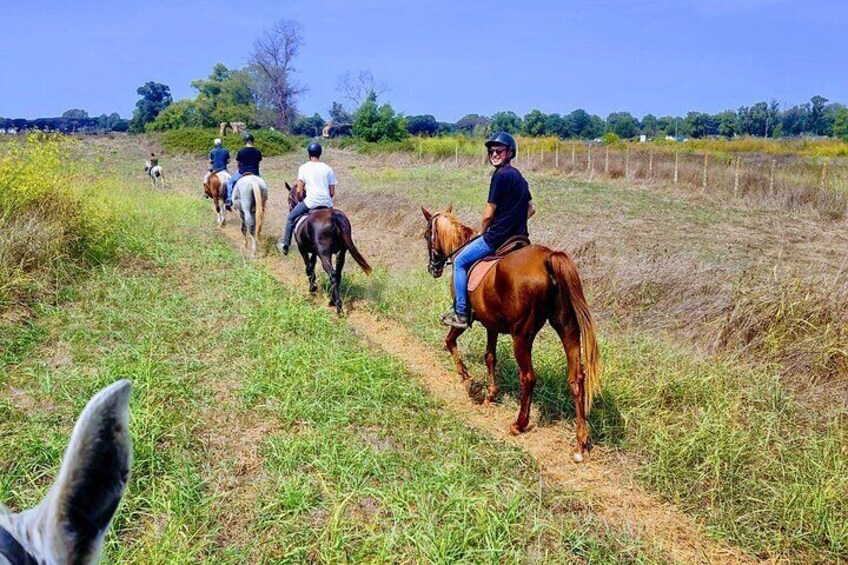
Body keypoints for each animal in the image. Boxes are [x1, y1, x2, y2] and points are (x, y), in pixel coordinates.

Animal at [284, 181, 372, 312]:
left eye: (289, 198)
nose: (290, 209)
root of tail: (334, 216)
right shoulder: (315, 252)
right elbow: (312, 265)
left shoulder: (302, 249)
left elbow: (308, 268)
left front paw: (312, 289)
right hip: (341, 252)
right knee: (338, 274)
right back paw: (333, 300)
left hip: (324, 253)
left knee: (332, 274)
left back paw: (338, 306)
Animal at [420, 208, 600, 462]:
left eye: (427, 235)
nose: (433, 268)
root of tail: (548, 259)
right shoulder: (492, 324)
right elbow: (489, 356)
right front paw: (491, 393)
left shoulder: (465, 318)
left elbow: (449, 342)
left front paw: (469, 382)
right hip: (567, 328)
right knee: (576, 378)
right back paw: (580, 441)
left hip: (521, 336)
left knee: (528, 377)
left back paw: (519, 424)